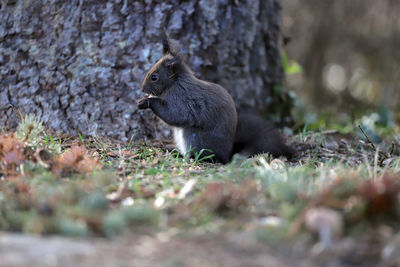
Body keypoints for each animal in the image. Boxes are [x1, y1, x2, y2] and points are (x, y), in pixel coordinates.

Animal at [139, 33, 296, 163]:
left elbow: (175, 114)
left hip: (195, 138)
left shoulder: (182, 98)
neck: (175, 82)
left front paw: (147, 101)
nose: (142, 89)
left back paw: (187, 156)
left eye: (154, 77)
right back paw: (173, 150)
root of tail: (227, 156)